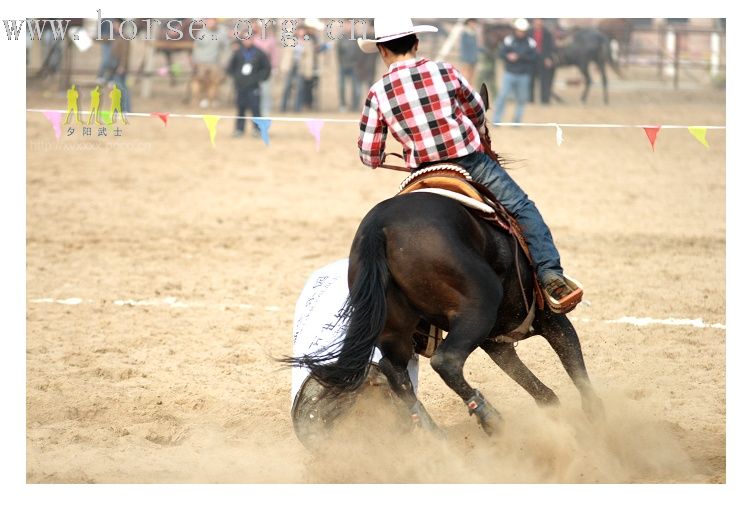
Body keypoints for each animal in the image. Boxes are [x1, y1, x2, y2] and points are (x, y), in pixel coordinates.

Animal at [284, 86, 604, 438]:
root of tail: (379, 227)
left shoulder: (497, 343)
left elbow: (544, 394)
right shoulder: (548, 320)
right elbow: (577, 372)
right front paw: (599, 421)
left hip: (395, 328)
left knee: (396, 374)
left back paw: (434, 435)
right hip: (477, 307)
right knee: (445, 361)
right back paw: (488, 417)